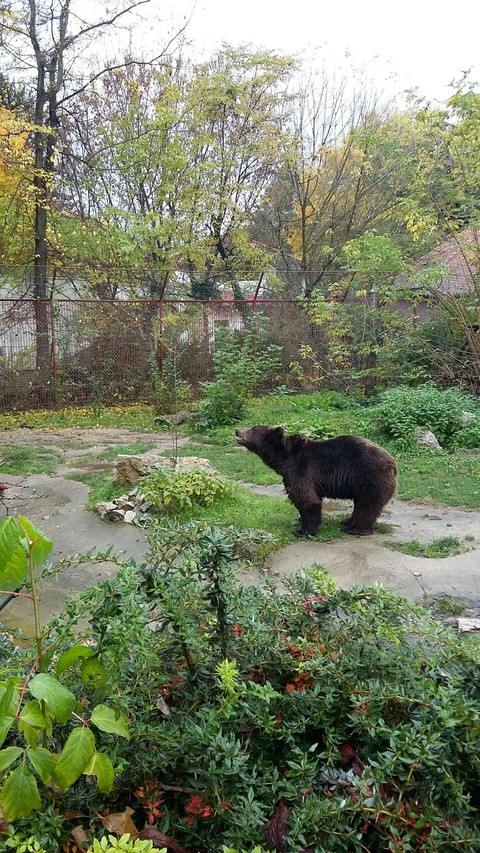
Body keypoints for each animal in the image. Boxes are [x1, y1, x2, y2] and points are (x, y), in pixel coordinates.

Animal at [235, 426, 397, 537]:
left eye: (252, 429)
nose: (237, 430)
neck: (284, 460)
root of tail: (393, 462)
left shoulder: (302, 470)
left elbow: (307, 499)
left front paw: (303, 531)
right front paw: (299, 520)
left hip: (369, 475)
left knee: (367, 504)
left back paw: (355, 528)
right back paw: (347, 521)